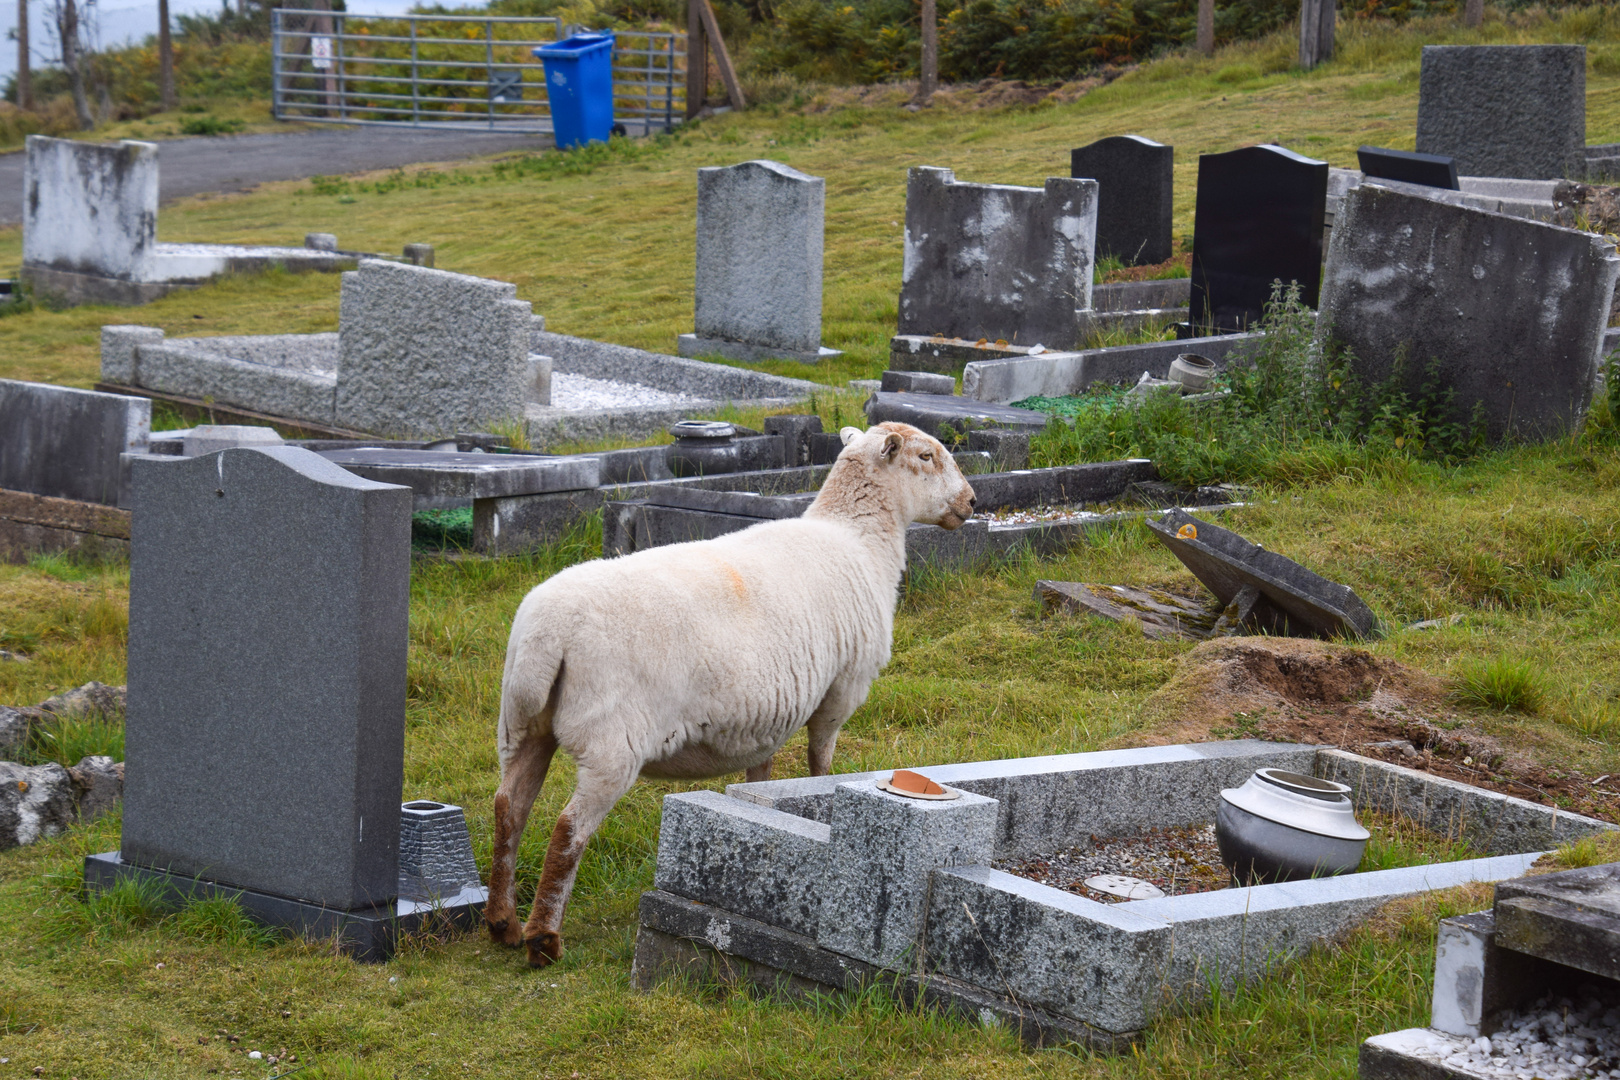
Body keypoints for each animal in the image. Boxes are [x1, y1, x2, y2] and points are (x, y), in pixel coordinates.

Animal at [482, 417, 972, 965]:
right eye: (927, 457)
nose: (972, 502)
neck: (858, 539)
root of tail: (549, 632)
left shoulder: (770, 715)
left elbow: (762, 777)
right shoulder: (843, 688)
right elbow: (821, 758)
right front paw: (821, 789)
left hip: (521, 723)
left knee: (509, 808)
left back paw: (502, 923)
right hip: (611, 740)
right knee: (569, 828)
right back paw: (543, 940)